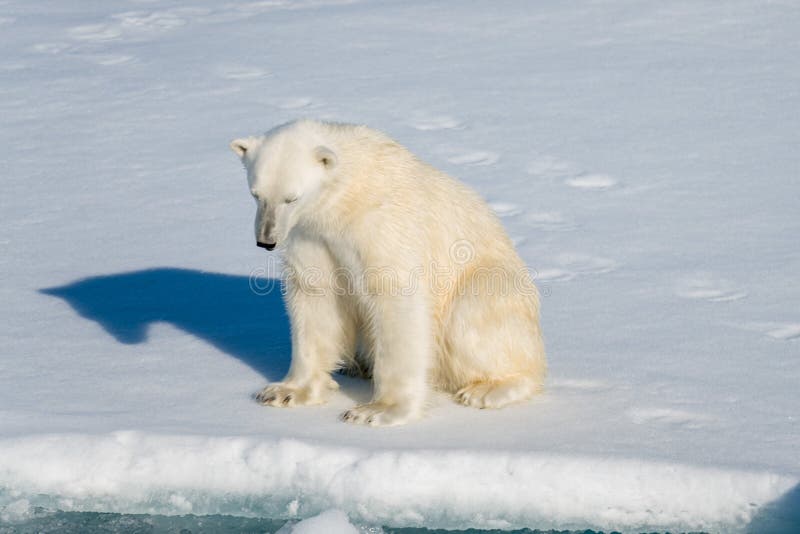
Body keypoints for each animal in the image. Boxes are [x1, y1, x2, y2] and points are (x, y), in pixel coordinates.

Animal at [230, 120, 545, 426]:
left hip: (493, 285)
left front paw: (376, 410)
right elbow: (316, 297)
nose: (266, 240)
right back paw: (356, 366)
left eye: (291, 198)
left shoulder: (381, 225)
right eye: (256, 194)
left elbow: (395, 298)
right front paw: (285, 392)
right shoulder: (313, 235)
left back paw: (488, 390)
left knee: (471, 318)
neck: (346, 196)